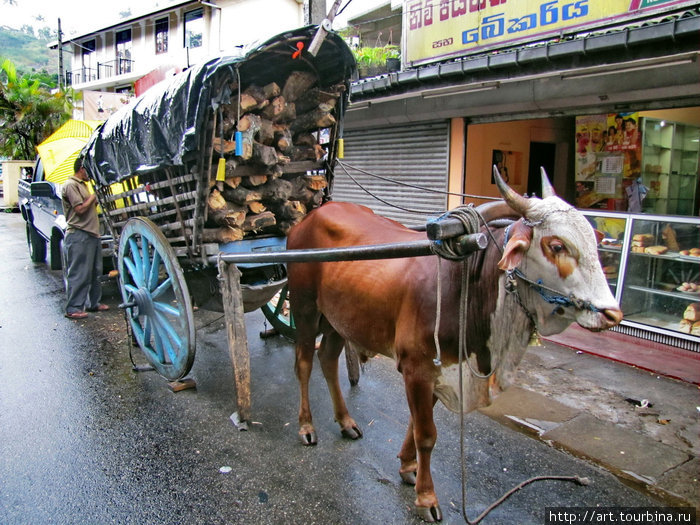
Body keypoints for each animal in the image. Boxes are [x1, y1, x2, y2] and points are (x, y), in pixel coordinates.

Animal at [284, 170, 616, 520]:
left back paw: (346, 422)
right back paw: (306, 426)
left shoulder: (439, 368)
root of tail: (310, 217)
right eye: (556, 245)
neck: (465, 285)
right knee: (304, 363)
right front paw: (426, 497)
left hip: (339, 319)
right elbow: (426, 434)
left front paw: (408, 467)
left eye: (593, 242)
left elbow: (416, 423)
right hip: (306, 308)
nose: (612, 313)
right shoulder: (417, 368)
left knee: (327, 359)